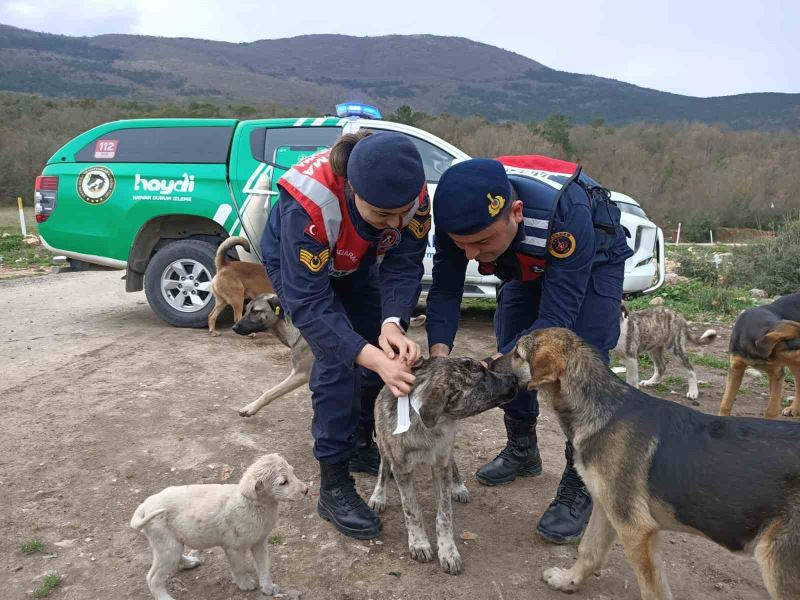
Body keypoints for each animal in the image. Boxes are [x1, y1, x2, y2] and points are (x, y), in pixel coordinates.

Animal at [130, 454, 308, 600]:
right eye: (283, 482)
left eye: (293, 472)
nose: (306, 490)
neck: (253, 504)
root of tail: (144, 506)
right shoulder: (233, 547)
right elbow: (239, 568)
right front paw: (245, 583)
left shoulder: (260, 541)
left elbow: (264, 566)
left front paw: (268, 588)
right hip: (166, 543)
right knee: (153, 578)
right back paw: (165, 597)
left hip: (170, 542)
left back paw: (190, 562)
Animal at [368, 358, 520, 576]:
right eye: (482, 376)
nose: (515, 378)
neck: (429, 427)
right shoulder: (401, 468)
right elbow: (411, 510)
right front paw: (419, 543)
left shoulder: (441, 464)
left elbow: (444, 514)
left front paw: (448, 551)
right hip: (382, 442)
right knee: (383, 465)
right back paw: (379, 495)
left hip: (447, 449)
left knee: (452, 463)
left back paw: (458, 487)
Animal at [490, 328, 800, 600]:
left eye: (518, 353)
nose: (489, 363)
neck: (603, 408)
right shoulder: (608, 509)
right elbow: (589, 551)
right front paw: (568, 581)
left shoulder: (637, 530)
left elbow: (653, 590)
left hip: (778, 565)